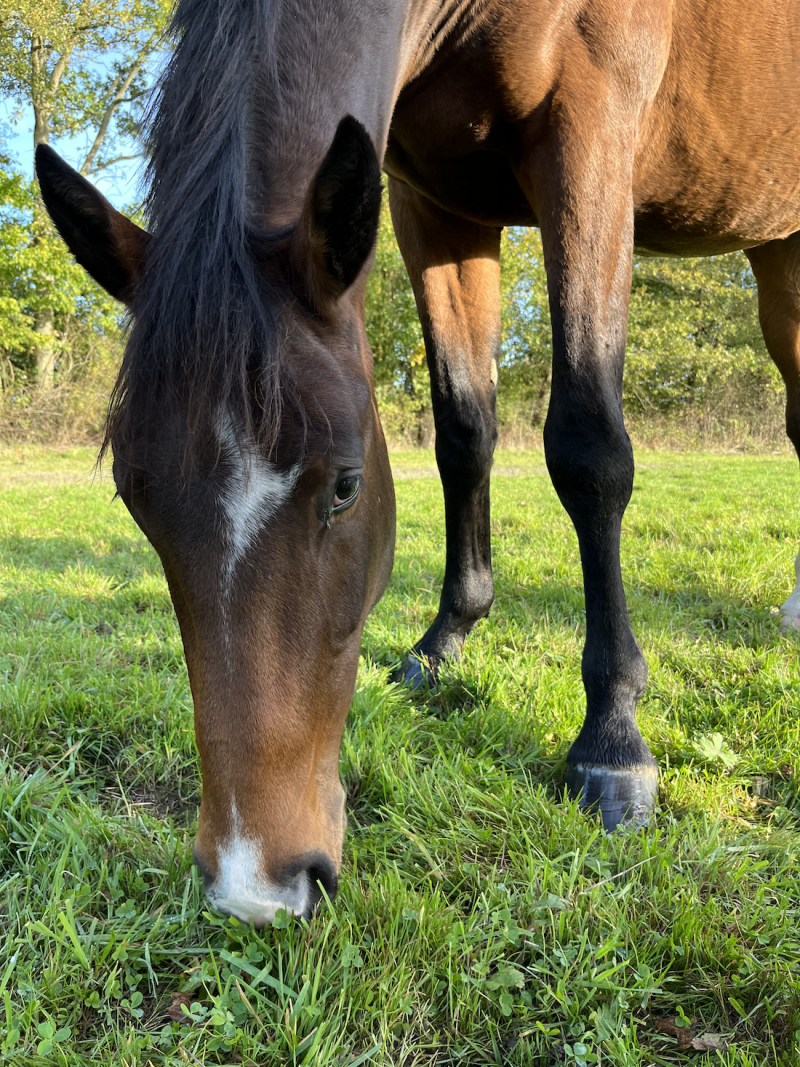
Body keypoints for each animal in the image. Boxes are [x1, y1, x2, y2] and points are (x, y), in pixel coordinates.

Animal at [34, 0, 800, 926]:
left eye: (346, 488)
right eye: (134, 498)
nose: (255, 888)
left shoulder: (590, 141)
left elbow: (589, 447)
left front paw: (613, 736)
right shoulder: (432, 206)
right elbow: (464, 430)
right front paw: (446, 639)